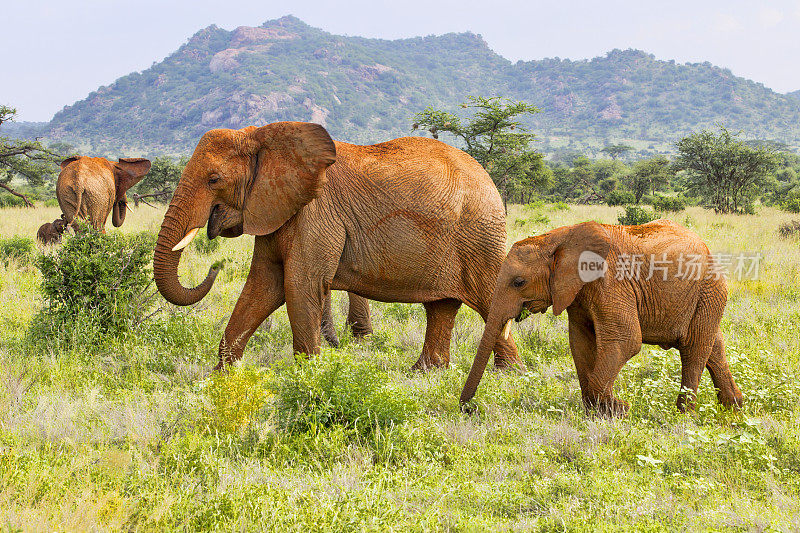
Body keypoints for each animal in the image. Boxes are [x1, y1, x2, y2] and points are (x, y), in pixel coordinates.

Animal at [153, 120, 520, 370]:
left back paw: (509, 376)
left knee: (490, 300)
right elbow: (262, 286)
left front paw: (308, 378)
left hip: (480, 235)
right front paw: (220, 379)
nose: (213, 267)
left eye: (213, 179)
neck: (264, 136)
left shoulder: (316, 213)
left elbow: (299, 285)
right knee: (441, 306)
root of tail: (487, 177)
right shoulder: (277, 208)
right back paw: (425, 373)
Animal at [460, 218, 748, 414]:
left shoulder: (611, 282)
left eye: (519, 282)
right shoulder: (577, 292)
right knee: (713, 347)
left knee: (694, 349)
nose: (468, 408)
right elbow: (580, 342)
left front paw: (620, 409)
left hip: (709, 290)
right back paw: (733, 408)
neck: (557, 238)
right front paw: (598, 413)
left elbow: (626, 340)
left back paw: (684, 415)